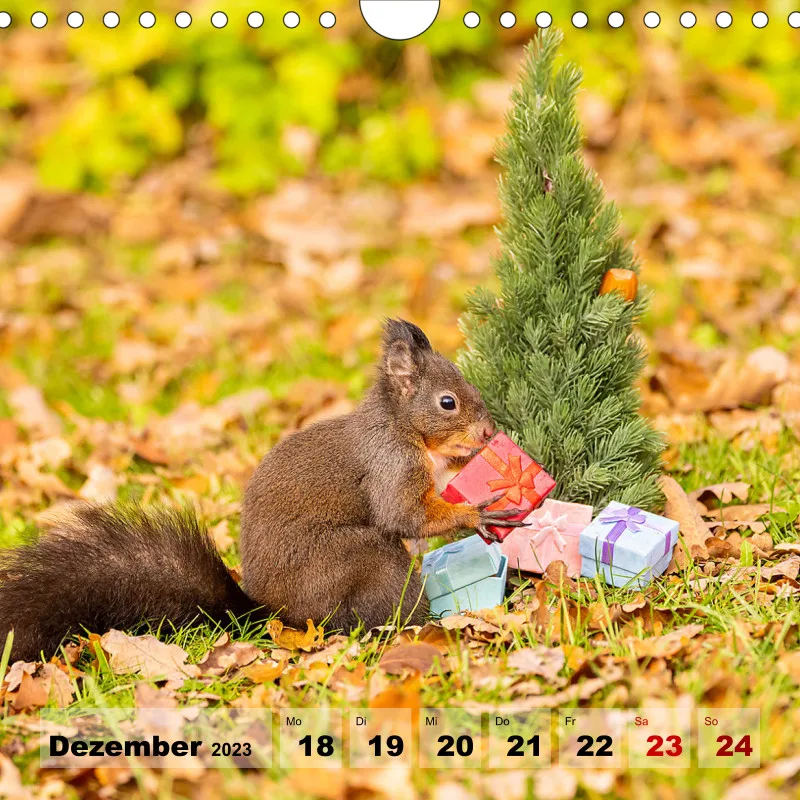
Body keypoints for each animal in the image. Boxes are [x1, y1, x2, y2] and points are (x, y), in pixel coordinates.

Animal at [0, 320, 523, 663]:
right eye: (447, 402)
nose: (487, 431)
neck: (402, 428)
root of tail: (270, 613)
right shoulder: (390, 465)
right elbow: (404, 514)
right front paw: (477, 514)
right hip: (357, 562)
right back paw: (422, 622)